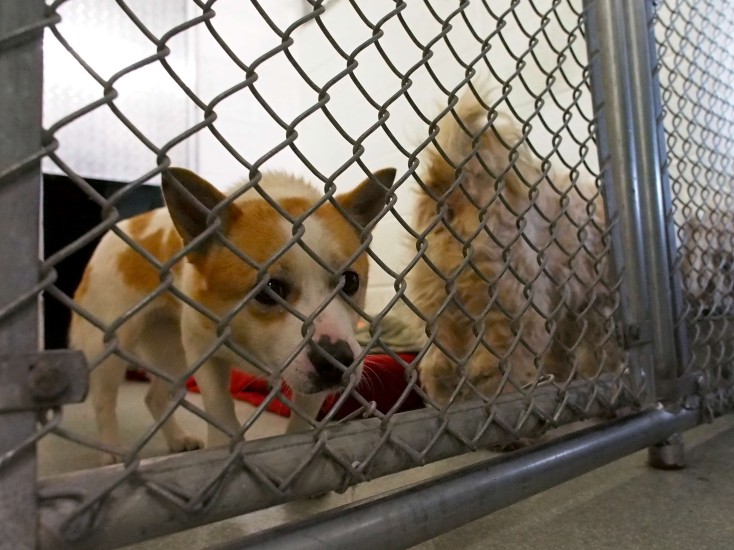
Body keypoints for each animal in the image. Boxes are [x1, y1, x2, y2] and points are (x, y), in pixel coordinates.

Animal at [72, 167, 396, 462]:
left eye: (350, 281)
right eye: (269, 289)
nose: (337, 361)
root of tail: (122, 227)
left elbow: (303, 420)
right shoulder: (203, 349)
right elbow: (220, 410)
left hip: (171, 349)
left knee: (155, 397)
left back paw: (177, 439)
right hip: (112, 345)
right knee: (104, 401)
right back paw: (112, 452)